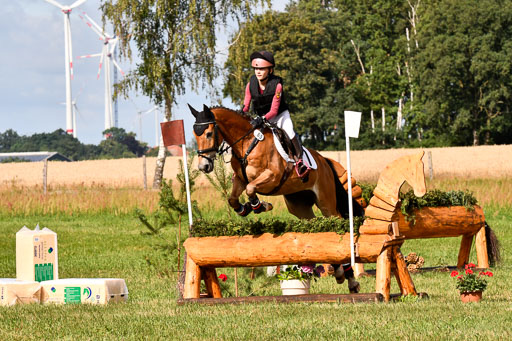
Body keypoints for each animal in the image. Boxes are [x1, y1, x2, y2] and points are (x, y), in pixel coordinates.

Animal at [190, 104, 366, 292]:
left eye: (209, 133)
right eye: (195, 134)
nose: (203, 166)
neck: (247, 145)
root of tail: (324, 160)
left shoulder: (272, 177)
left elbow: (251, 189)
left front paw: (261, 206)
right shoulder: (240, 179)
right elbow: (233, 199)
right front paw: (246, 209)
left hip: (326, 202)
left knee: (336, 222)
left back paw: (351, 279)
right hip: (299, 206)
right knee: (318, 228)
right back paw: (338, 272)